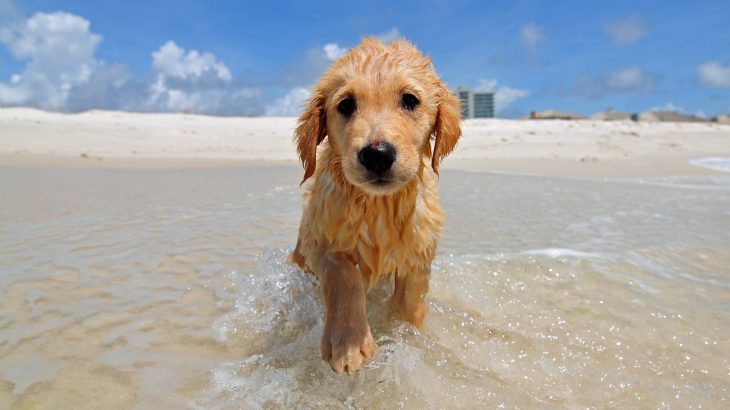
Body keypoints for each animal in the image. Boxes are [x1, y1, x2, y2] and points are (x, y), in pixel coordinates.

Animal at [290, 36, 460, 374]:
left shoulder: (418, 256)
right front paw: (347, 342)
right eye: (345, 105)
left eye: (410, 100)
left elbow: (409, 305)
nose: (377, 155)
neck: (379, 205)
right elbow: (343, 276)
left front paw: (407, 335)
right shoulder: (321, 237)